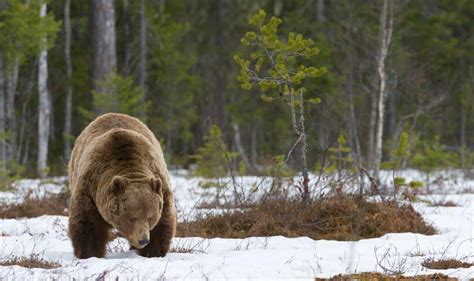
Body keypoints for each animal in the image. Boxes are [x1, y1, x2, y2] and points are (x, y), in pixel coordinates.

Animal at [68, 111, 176, 258]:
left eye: (150, 216)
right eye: (132, 217)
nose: (143, 240)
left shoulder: (161, 187)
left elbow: (161, 224)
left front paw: (153, 252)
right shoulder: (90, 189)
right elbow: (88, 224)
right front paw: (90, 253)